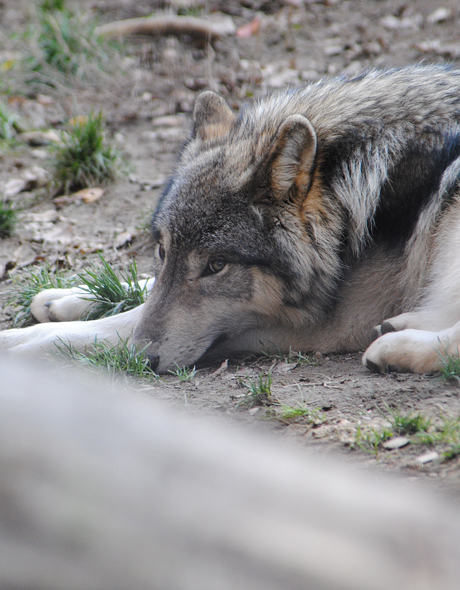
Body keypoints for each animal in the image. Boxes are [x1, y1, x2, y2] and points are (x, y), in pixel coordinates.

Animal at [2, 66, 460, 374]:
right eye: (162, 251)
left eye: (217, 266)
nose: (142, 360)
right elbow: (148, 292)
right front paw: (66, 297)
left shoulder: (328, 321)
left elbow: (124, 321)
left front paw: (25, 343)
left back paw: (394, 347)